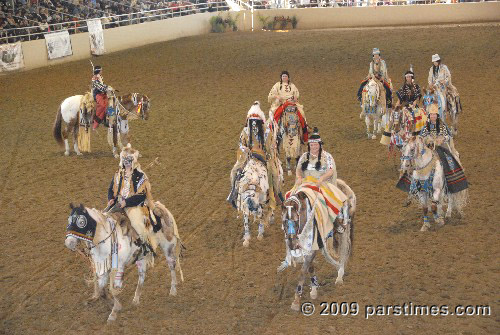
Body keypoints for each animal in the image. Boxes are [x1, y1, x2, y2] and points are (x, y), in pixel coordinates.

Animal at [282, 180, 356, 312]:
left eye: (296, 221)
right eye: (284, 221)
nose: (291, 244)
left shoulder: (312, 248)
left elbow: (303, 271)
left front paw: (296, 301)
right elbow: (310, 268)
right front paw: (314, 290)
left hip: (344, 231)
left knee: (343, 251)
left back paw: (339, 277)